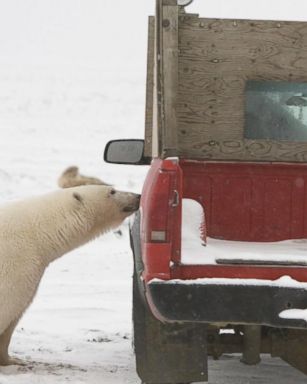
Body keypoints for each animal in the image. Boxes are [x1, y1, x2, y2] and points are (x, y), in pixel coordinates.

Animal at [0, 184, 141, 364]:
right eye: (111, 191)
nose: (137, 196)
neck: (36, 233)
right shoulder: (16, 262)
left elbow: (15, 315)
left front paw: (12, 360)